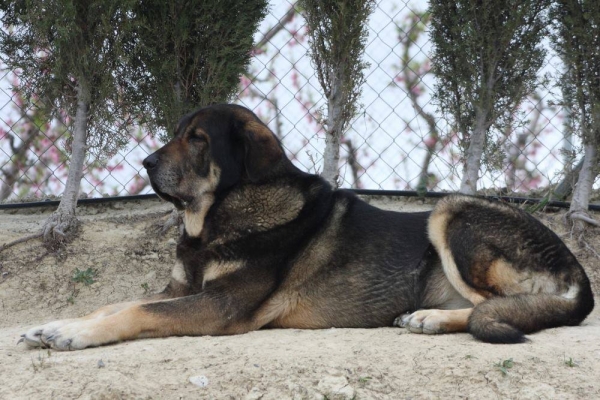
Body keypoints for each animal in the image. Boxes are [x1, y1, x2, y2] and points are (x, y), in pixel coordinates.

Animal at [21, 104, 592, 350]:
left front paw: (70, 334)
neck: (217, 220)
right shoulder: (179, 288)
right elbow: (114, 303)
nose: (144, 163)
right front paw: (54, 324)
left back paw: (430, 318)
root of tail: (576, 273)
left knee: (504, 307)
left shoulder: (221, 306)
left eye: (199, 139)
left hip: (452, 210)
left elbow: (133, 311)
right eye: (177, 132)